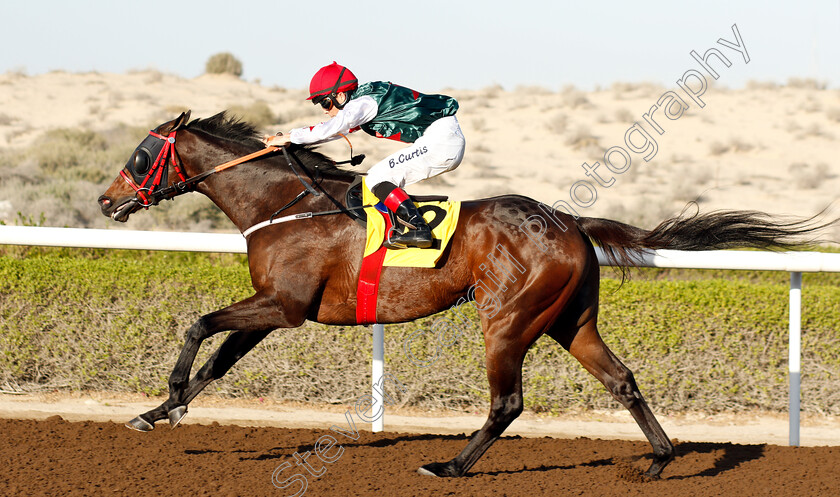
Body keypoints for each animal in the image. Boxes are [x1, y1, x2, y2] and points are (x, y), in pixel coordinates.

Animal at [98, 111, 828, 476]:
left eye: (140, 156)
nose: (107, 201)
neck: (286, 205)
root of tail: (569, 221)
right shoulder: (275, 308)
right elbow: (218, 359)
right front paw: (159, 411)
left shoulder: (287, 308)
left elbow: (199, 325)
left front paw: (167, 397)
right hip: (571, 321)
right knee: (621, 378)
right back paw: (659, 461)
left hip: (506, 319)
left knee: (508, 401)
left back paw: (450, 466)